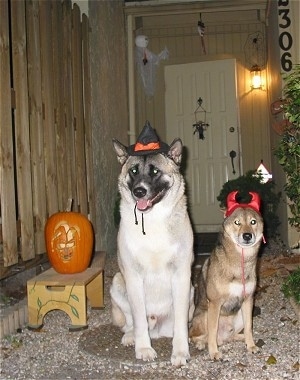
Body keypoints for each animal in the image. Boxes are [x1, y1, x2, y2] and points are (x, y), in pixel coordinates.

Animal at [190, 191, 264, 360]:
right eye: (237, 222)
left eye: (253, 222)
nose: (247, 236)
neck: (241, 261)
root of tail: (222, 338)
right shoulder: (215, 303)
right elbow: (211, 333)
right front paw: (214, 352)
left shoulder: (248, 300)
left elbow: (249, 328)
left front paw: (251, 345)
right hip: (204, 315)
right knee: (195, 336)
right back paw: (201, 344)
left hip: (240, 316)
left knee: (232, 336)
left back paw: (243, 339)